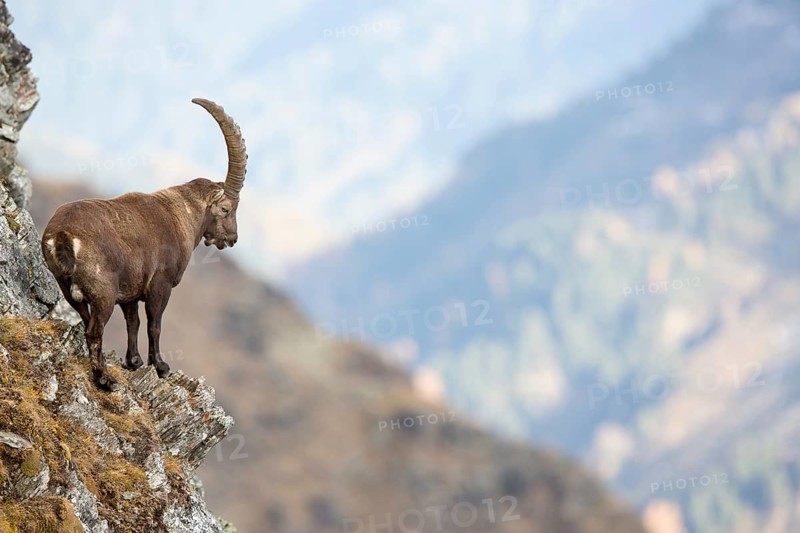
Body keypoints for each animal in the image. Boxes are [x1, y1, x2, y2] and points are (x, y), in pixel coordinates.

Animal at [41, 98, 247, 390]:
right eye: (227, 209)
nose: (231, 238)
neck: (181, 214)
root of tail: (61, 235)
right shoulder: (160, 284)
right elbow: (154, 324)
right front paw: (160, 366)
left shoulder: (129, 291)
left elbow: (133, 321)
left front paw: (134, 361)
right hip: (103, 292)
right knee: (94, 330)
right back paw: (104, 379)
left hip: (68, 288)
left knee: (86, 321)